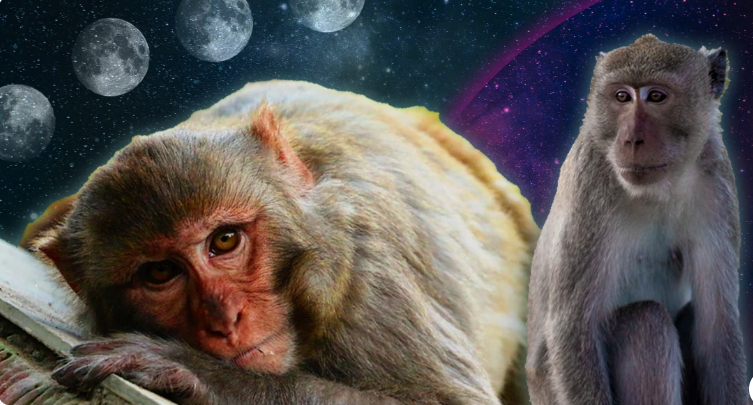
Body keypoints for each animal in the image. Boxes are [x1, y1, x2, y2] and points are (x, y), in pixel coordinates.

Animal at [525, 34, 747, 405]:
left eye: (656, 96)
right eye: (622, 97)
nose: (631, 140)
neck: (656, 191)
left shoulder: (717, 183)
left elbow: (717, 330)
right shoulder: (591, 180)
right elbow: (573, 327)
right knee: (646, 321)